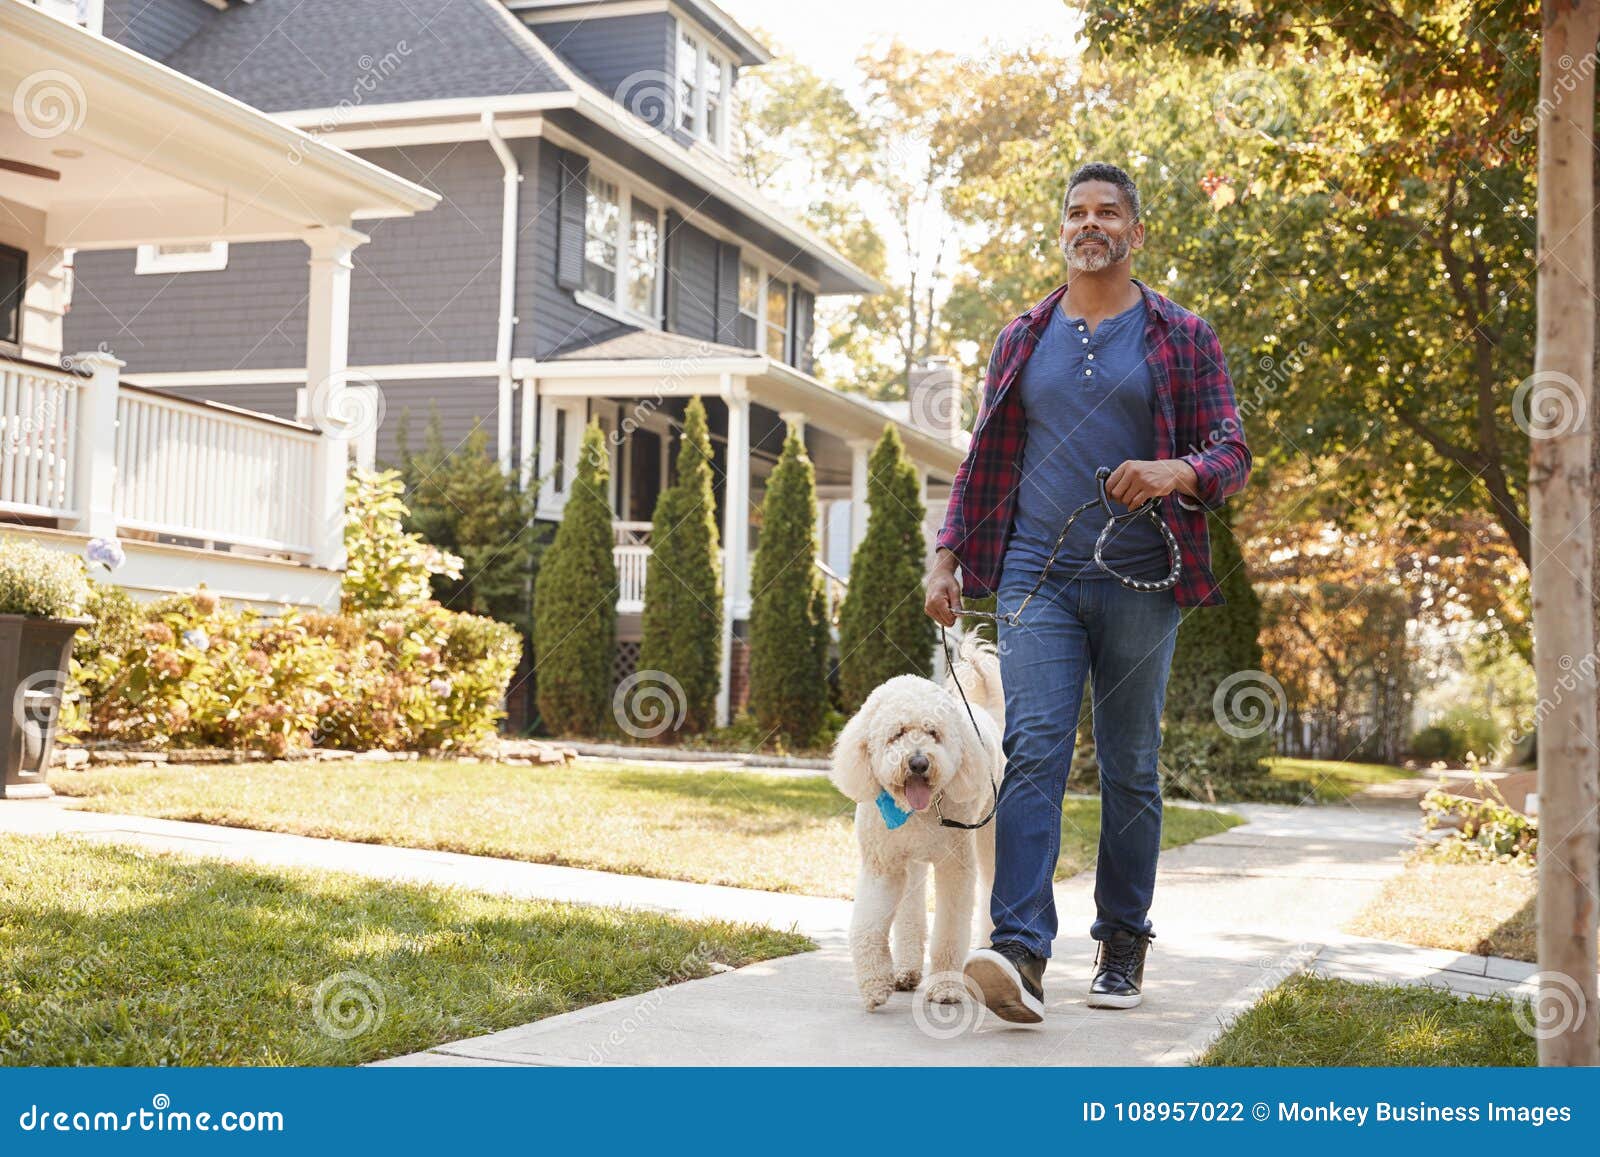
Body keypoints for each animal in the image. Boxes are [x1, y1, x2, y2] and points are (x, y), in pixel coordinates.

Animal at [832, 633, 1004, 1011]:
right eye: (897, 733)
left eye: (933, 732)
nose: (918, 763)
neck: (916, 811)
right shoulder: (882, 866)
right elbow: (868, 926)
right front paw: (875, 983)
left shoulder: (956, 867)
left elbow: (950, 932)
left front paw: (946, 987)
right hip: (910, 863)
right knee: (910, 911)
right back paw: (907, 970)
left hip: (989, 838)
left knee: (990, 888)